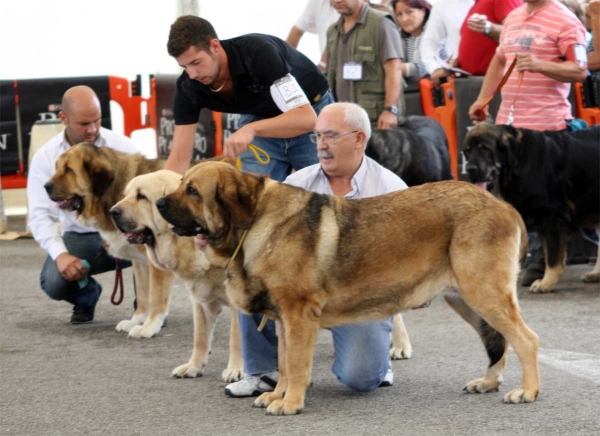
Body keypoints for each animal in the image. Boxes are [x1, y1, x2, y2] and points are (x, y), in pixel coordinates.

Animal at [44, 143, 173, 338]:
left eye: (69, 169)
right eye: (57, 167)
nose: (46, 186)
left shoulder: (156, 262)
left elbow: (156, 298)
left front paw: (149, 327)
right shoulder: (140, 263)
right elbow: (143, 295)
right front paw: (136, 321)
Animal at [110, 170, 244, 382]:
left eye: (141, 197)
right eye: (126, 194)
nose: (112, 212)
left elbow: (237, 338)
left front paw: (236, 369)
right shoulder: (202, 302)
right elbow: (200, 338)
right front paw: (193, 367)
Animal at [156, 162, 540, 414]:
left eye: (192, 191)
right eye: (181, 183)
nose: (159, 203)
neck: (254, 222)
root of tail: (504, 206)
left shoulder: (299, 316)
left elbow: (296, 365)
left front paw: (290, 403)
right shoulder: (284, 321)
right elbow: (284, 363)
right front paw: (277, 395)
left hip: (483, 293)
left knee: (526, 339)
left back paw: (527, 391)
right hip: (467, 301)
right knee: (500, 341)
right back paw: (488, 382)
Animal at [464, 122, 600, 292]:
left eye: (485, 149)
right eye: (467, 151)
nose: (470, 169)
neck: (518, 163)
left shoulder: (552, 218)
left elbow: (554, 258)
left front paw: (547, 283)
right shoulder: (544, 223)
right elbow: (548, 254)